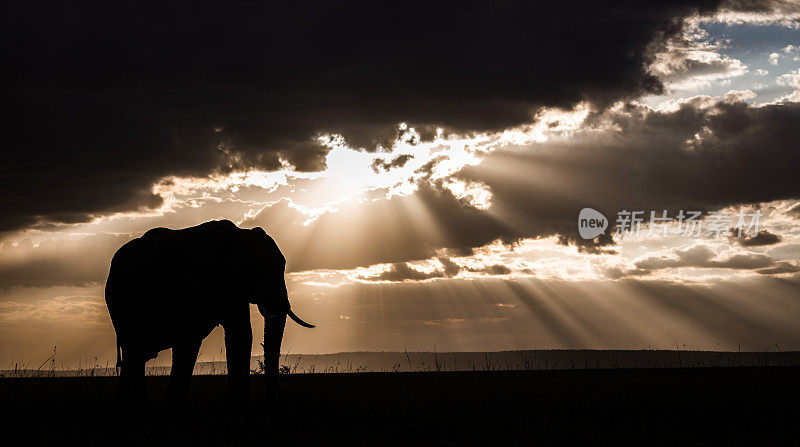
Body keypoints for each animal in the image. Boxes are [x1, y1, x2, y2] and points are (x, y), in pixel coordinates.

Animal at [108, 220, 314, 400]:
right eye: (260, 270)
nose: (273, 396)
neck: (240, 236)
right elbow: (189, 338)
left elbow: (240, 334)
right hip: (121, 303)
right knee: (135, 351)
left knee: (138, 355)